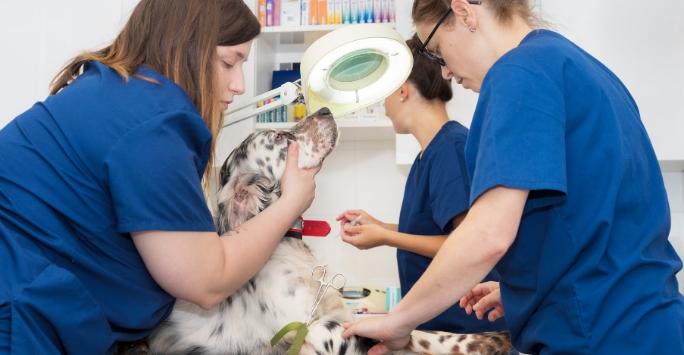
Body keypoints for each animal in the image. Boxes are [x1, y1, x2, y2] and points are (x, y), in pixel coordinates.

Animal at [146, 108, 512, 355]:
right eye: (278, 138)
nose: (324, 109)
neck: (285, 246)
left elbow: (421, 332)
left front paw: (492, 338)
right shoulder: (316, 331)